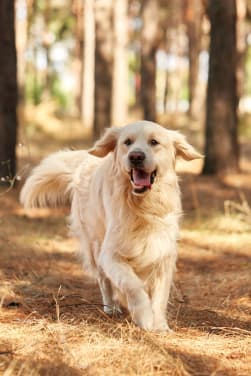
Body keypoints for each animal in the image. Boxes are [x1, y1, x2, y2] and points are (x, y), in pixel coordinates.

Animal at [21, 120, 202, 328]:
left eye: (154, 142)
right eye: (127, 142)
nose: (136, 156)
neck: (142, 206)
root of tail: (86, 160)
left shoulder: (163, 254)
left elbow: (160, 296)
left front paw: (160, 325)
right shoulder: (110, 254)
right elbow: (132, 284)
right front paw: (144, 317)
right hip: (94, 245)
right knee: (104, 281)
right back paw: (111, 308)